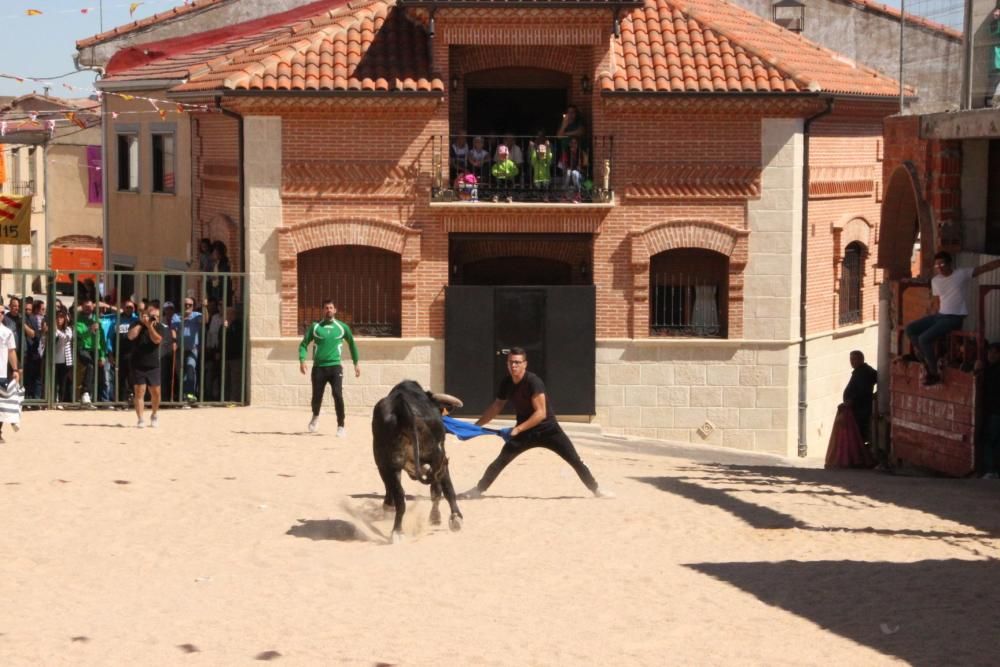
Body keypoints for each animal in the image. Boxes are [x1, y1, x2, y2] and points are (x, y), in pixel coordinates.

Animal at [374, 380, 466, 544]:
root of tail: (403, 410)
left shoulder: (386, 465)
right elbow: (442, 488)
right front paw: (442, 518)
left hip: (386, 461)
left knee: (399, 496)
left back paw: (397, 530)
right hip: (437, 455)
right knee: (441, 486)